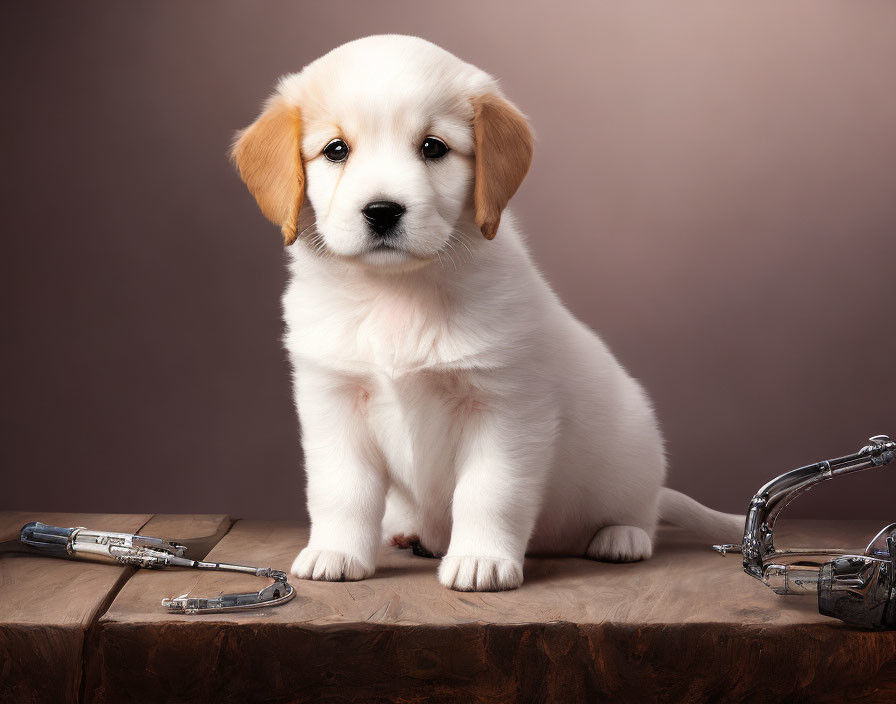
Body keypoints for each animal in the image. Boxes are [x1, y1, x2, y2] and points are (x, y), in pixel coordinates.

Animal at [233, 35, 744, 592]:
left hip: (634, 449)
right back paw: (406, 532)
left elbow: (489, 493)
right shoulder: (334, 400)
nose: (383, 211)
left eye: (433, 147)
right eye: (336, 150)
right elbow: (341, 490)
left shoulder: (505, 409)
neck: (398, 294)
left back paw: (620, 537)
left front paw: (481, 559)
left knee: (640, 510)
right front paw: (337, 551)